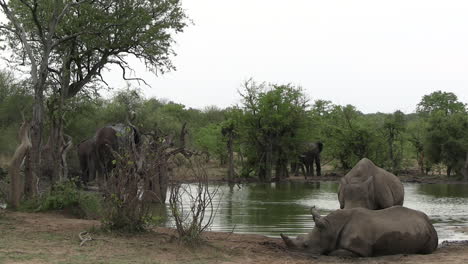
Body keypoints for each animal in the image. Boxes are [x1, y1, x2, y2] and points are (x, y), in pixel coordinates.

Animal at [282, 206, 438, 256]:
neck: (331, 227)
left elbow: (334, 253)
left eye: (306, 246)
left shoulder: (359, 250)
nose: (291, 251)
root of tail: (429, 222)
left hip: (429, 233)